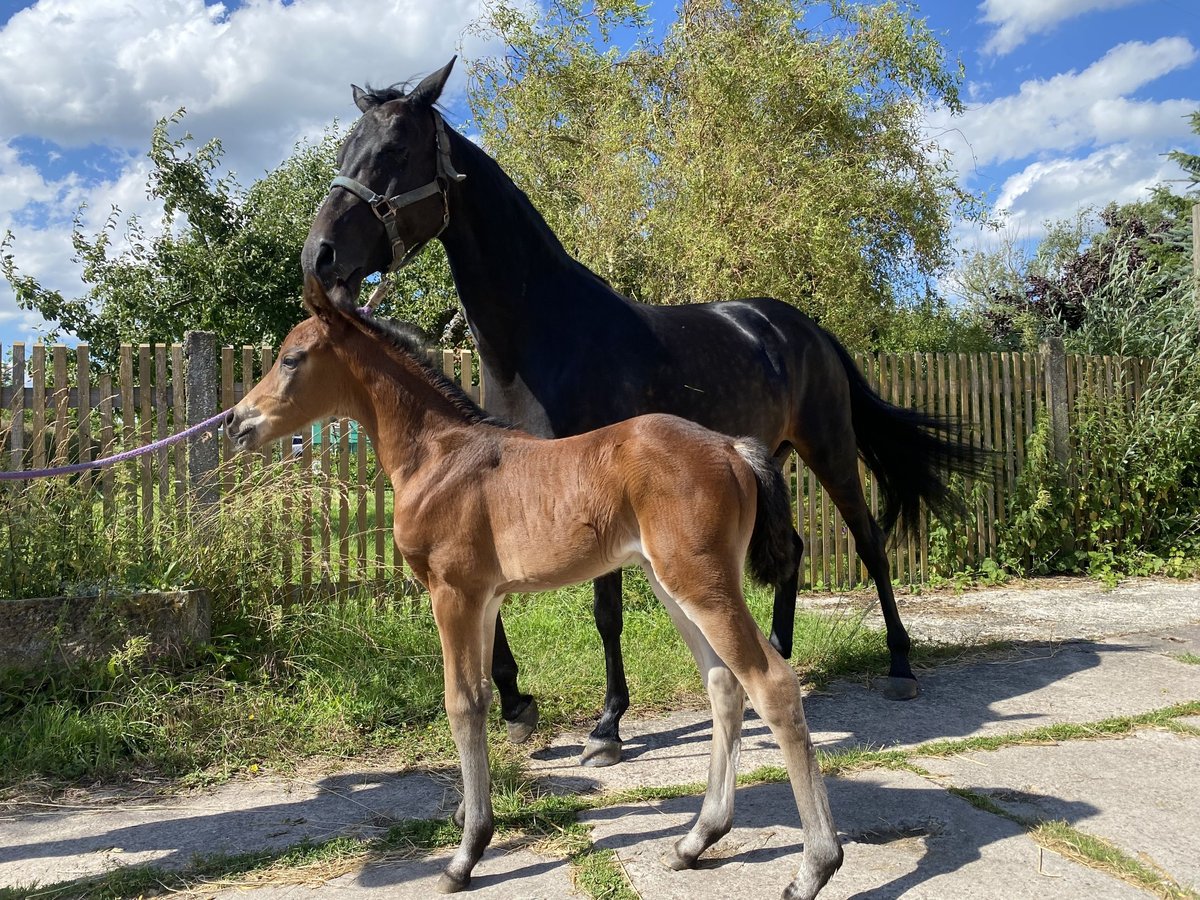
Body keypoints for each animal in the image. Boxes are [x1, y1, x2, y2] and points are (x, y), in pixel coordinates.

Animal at [226, 278, 844, 897]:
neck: (439, 457)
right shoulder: (485, 599)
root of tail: (732, 448)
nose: (235, 421)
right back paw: (696, 839)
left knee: (771, 684)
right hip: (675, 586)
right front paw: (472, 814)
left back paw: (815, 866)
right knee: (723, 685)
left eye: (291, 358)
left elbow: (460, 704)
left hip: (702, 583)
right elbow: (481, 697)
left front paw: (466, 853)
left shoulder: (452, 592)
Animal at [297, 58, 984, 768]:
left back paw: (900, 665)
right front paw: (518, 706)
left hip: (830, 449)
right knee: (792, 551)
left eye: (394, 151)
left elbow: (605, 611)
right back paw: (778, 656)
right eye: (345, 150)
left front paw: (606, 726)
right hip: (772, 456)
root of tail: (804, 328)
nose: (318, 256)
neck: (543, 336)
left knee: (870, 541)